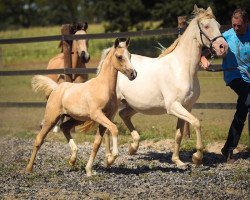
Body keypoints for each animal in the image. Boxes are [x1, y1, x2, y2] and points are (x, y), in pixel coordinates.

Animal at [25, 38, 137, 177]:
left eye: (130, 56)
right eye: (119, 57)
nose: (133, 74)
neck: (103, 87)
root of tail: (56, 88)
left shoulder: (107, 117)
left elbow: (96, 143)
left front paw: (89, 170)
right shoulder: (97, 115)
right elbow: (114, 129)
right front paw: (111, 159)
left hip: (76, 119)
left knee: (64, 127)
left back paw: (72, 159)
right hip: (51, 118)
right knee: (39, 139)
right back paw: (28, 169)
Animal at [108, 5, 229, 167]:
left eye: (219, 25)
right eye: (206, 26)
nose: (223, 47)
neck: (183, 68)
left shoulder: (186, 107)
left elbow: (179, 134)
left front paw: (178, 161)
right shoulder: (174, 106)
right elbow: (196, 123)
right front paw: (197, 157)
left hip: (134, 105)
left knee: (123, 115)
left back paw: (133, 147)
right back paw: (109, 156)